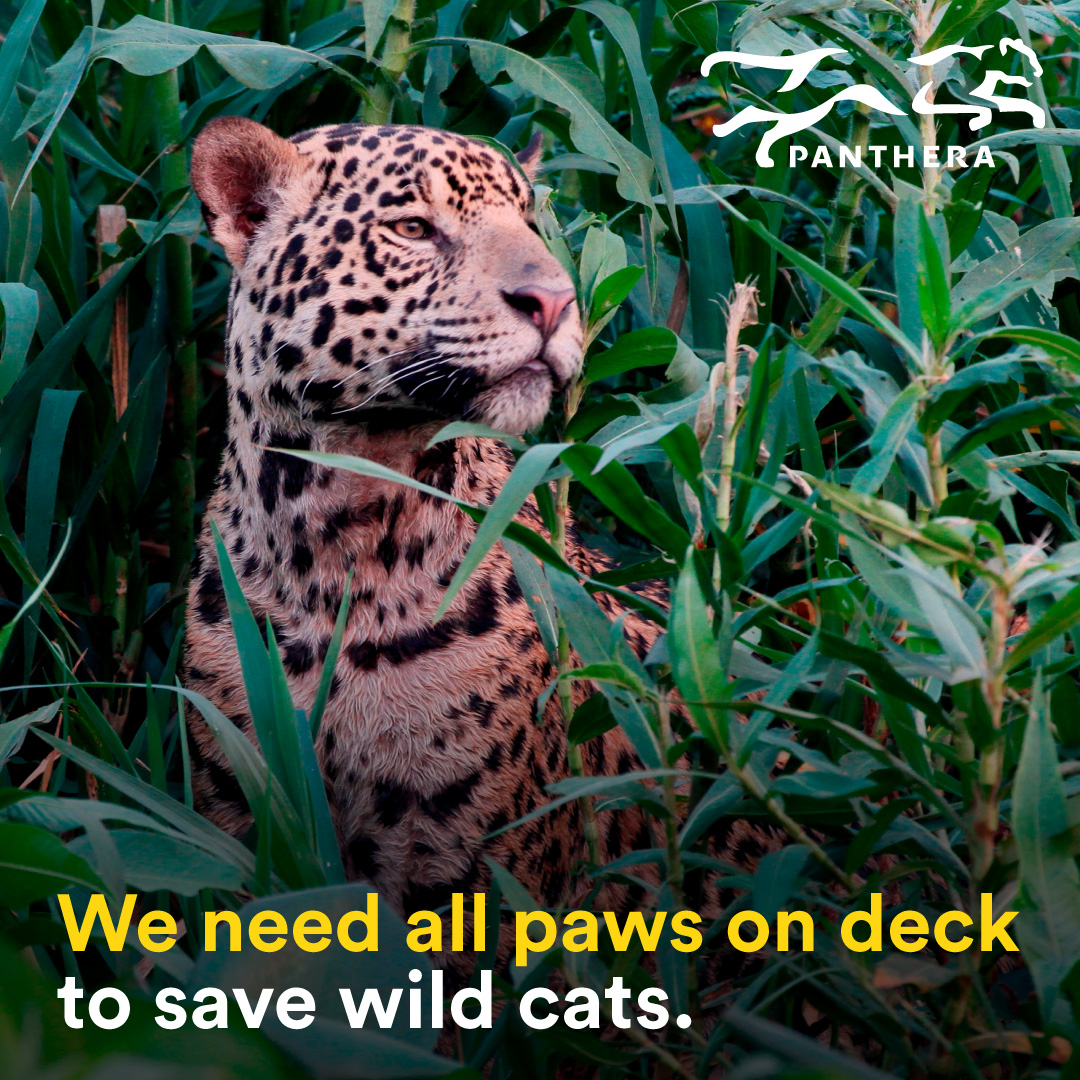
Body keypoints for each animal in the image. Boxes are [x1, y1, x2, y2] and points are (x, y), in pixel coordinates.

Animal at [182, 118, 771, 977]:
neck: (335, 542)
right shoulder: (235, 815)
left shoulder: (466, 877)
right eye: (412, 228)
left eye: (529, 223)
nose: (555, 300)